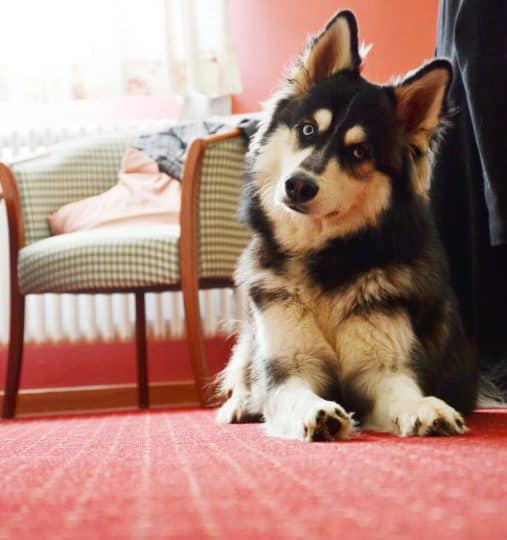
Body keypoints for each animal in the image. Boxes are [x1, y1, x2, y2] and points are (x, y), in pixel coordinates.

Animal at [216, 8, 478, 440]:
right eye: (308, 129)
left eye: (359, 152)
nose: (298, 185)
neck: (323, 260)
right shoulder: (289, 365)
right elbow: (290, 393)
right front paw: (316, 411)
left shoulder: (381, 367)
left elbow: (402, 391)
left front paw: (425, 407)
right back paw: (238, 405)